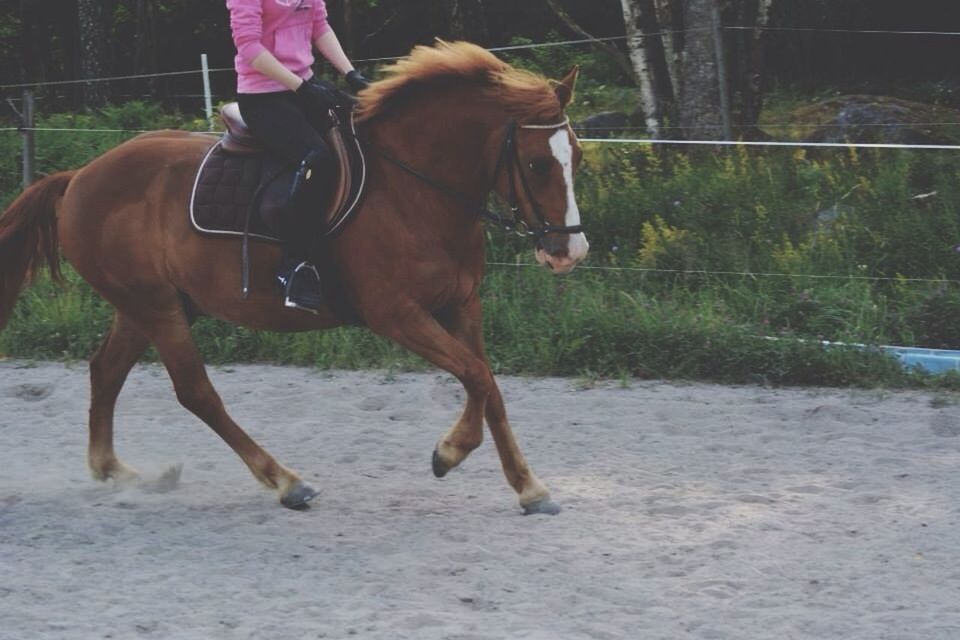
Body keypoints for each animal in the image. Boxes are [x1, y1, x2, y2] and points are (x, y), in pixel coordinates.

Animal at [0, 41, 584, 516]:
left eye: (575, 155)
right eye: (537, 164)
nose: (569, 250)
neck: (414, 189)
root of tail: (79, 177)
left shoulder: (462, 304)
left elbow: (489, 385)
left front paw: (529, 488)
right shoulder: (396, 314)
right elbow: (476, 376)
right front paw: (449, 453)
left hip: (151, 304)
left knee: (106, 371)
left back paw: (115, 471)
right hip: (155, 306)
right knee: (195, 391)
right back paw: (285, 481)